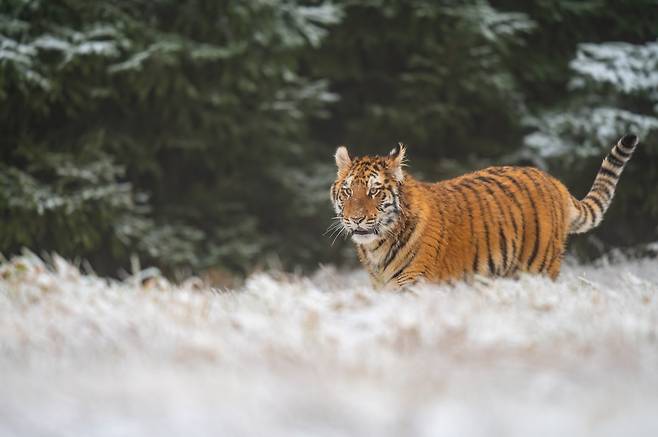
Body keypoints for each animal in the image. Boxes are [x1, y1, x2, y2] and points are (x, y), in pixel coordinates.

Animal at [330, 135, 640, 288]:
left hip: (536, 270)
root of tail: (555, 182)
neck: (377, 246)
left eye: (374, 191)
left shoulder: (412, 285)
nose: (356, 219)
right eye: (347, 191)